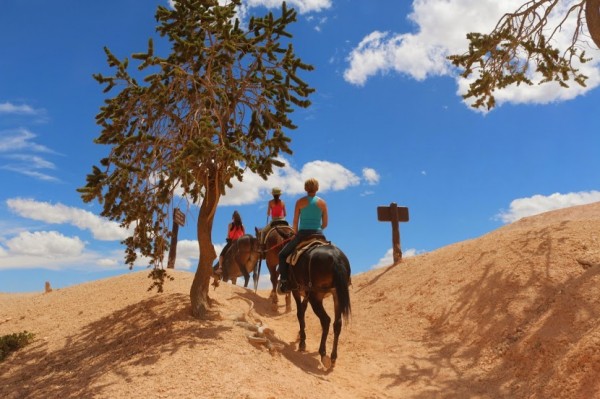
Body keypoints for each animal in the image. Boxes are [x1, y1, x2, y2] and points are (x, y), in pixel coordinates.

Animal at [288, 239, 350, 370]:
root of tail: (336, 257)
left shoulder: (296, 290)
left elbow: (300, 313)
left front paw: (302, 342)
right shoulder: (306, 294)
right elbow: (303, 310)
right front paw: (300, 335)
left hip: (315, 296)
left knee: (325, 320)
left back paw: (323, 354)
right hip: (336, 295)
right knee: (337, 323)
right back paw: (333, 357)